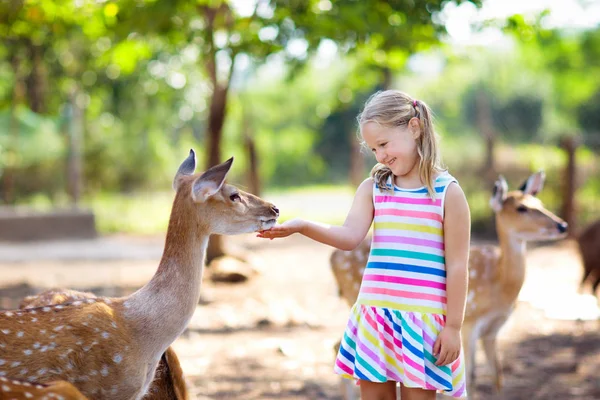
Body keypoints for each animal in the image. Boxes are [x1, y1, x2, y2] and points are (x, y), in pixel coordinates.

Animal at [328, 171, 568, 396]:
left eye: (540, 203)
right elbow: (471, 376)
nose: (562, 225)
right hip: (354, 294)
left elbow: (497, 375)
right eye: (521, 208)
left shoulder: (493, 329)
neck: (500, 285)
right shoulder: (470, 322)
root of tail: (333, 258)